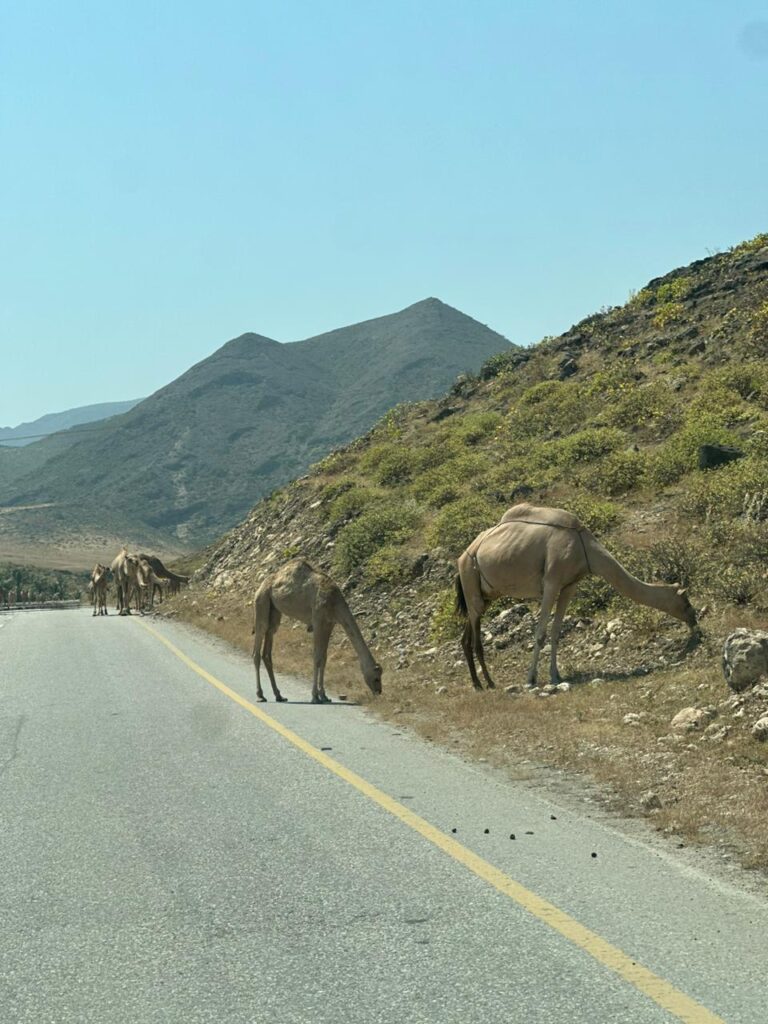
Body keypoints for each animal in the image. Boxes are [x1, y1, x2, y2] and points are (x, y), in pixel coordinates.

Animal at [251, 559, 383, 704]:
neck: (334, 602)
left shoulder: (329, 624)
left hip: (274, 611)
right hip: (262, 602)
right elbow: (317, 657)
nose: (379, 691)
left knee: (267, 651)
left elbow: (324, 658)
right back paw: (260, 695)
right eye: (376, 678)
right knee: (257, 649)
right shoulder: (318, 621)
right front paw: (315, 696)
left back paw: (279, 695)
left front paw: (324, 696)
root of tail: (260, 587)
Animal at [455, 503, 698, 690]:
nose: (695, 621)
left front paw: (556, 676)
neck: (584, 548)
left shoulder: (569, 586)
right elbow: (540, 634)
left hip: (485, 594)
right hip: (470, 577)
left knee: (467, 633)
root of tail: (463, 556)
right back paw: (488, 683)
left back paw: (477, 683)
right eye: (685, 602)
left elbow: (556, 633)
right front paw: (531, 679)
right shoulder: (551, 582)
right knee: (476, 638)